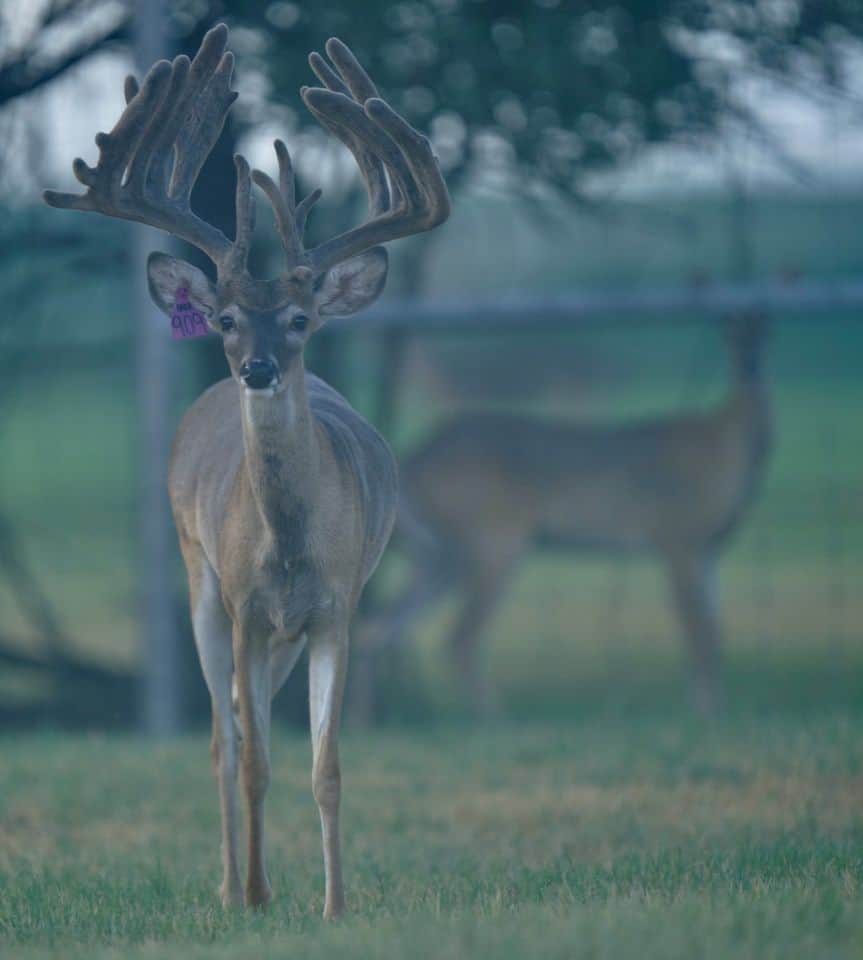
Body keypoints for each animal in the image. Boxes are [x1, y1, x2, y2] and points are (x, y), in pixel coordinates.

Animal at [43, 25, 449, 915]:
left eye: (299, 318)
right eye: (227, 318)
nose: (257, 367)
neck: (291, 544)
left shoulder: (335, 610)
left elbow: (326, 766)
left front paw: (335, 905)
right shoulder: (243, 609)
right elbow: (255, 757)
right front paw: (260, 894)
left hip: (283, 632)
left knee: (241, 718)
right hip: (199, 581)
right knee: (222, 735)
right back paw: (231, 887)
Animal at [366, 313, 770, 718]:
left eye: (762, 333)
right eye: (733, 337)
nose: (750, 362)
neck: (726, 450)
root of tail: (414, 460)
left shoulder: (708, 549)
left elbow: (716, 632)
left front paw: (713, 706)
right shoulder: (678, 534)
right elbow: (697, 630)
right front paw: (707, 710)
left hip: (443, 554)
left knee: (384, 624)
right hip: (493, 539)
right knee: (457, 637)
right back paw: (493, 715)